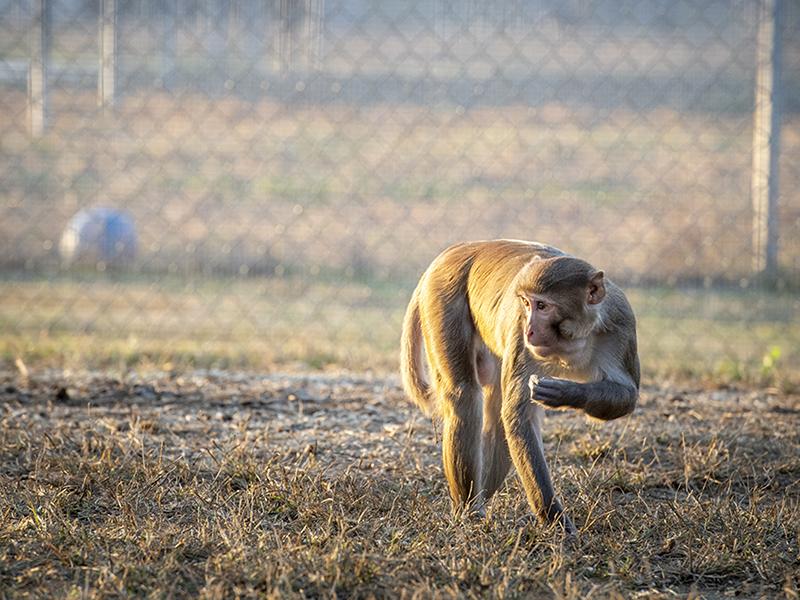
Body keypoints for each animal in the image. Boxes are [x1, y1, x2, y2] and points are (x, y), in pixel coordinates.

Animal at [398, 239, 636, 536]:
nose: (531, 330)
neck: (574, 341)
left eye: (543, 306)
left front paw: (566, 392)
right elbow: (519, 415)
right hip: (442, 298)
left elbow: (628, 395)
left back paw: (480, 501)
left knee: (496, 411)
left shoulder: (621, 326)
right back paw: (469, 510)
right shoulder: (522, 337)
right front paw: (555, 521)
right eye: (526, 303)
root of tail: (451, 252)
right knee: (465, 398)